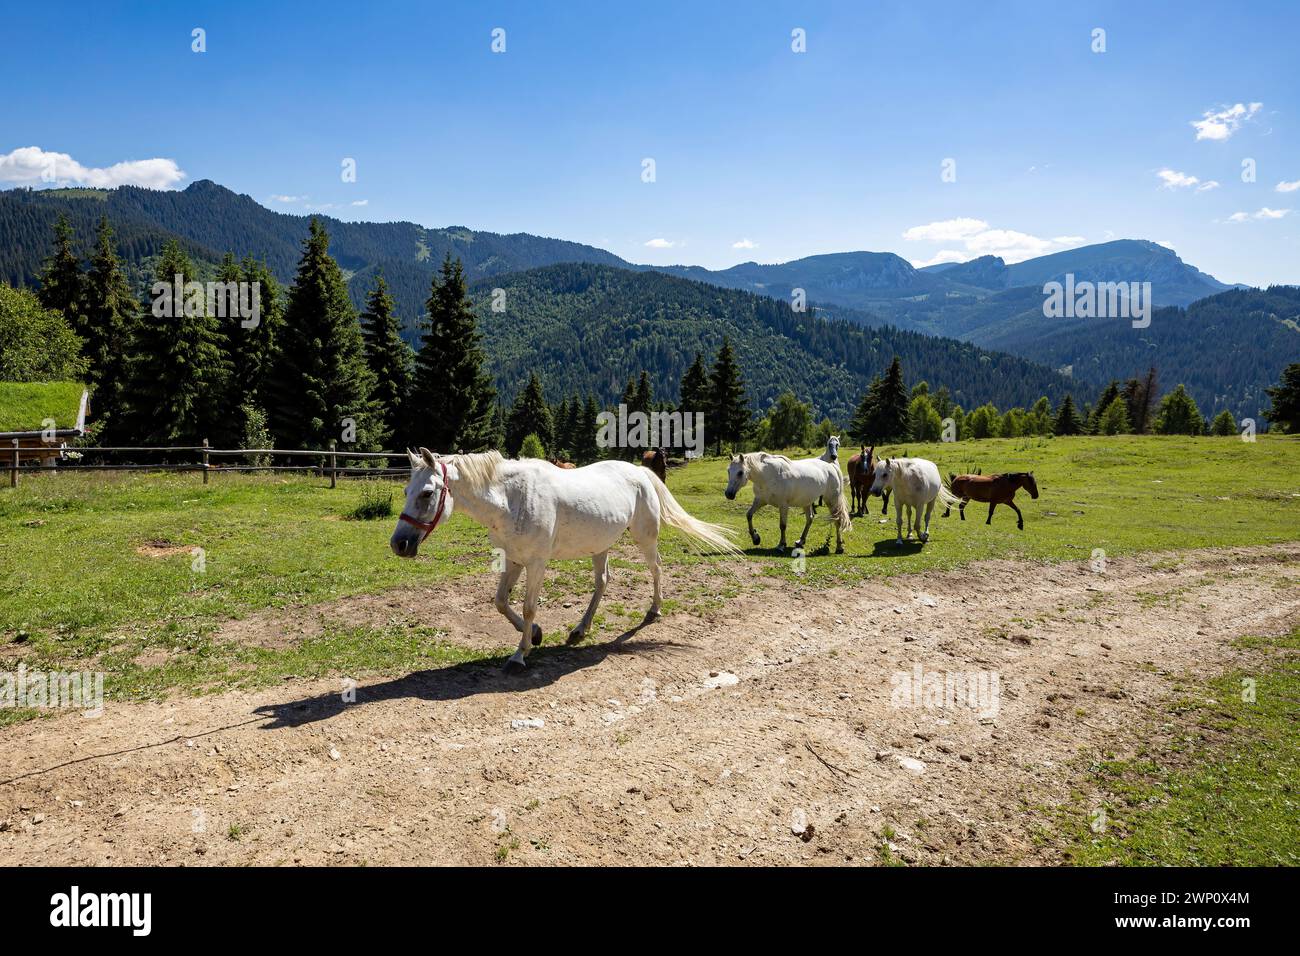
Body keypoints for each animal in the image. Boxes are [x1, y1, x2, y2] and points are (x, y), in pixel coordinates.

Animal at [391, 448, 738, 673]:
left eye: (426, 493)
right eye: (407, 490)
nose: (399, 544)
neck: (511, 499)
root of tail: (640, 472)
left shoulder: (536, 563)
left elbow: (528, 607)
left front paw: (520, 655)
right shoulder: (513, 560)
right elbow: (501, 602)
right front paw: (535, 635)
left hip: (645, 538)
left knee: (656, 569)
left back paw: (654, 610)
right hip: (600, 545)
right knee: (602, 582)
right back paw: (579, 630)